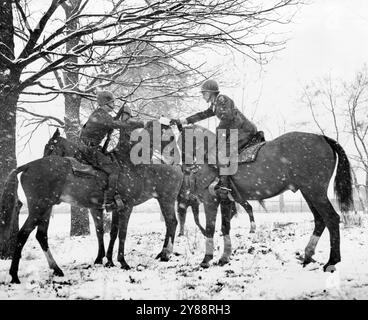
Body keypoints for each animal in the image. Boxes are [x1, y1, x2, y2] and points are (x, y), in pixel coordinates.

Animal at [0, 126, 183, 284]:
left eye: (51, 147)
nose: (175, 153)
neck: (130, 165)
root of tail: (28, 166)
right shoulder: (124, 207)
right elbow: (118, 233)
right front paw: (120, 261)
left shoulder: (110, 208)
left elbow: (110, 232)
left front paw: (107, 260)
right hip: (40, 208)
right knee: (25, 235)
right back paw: (15, 275)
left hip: (45, 208)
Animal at [178, 124, 354, 272]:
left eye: (180, 141)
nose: (184, 168)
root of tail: (322, 137)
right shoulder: (226, 201)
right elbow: (225, 227)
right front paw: (224, 257)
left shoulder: (210, 201)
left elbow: (210, 229)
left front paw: (206, 259)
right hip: (308, 193)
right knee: (320, 220)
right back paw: (308, 255)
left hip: (315, 192)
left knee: (331, 218)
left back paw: (332, 261)